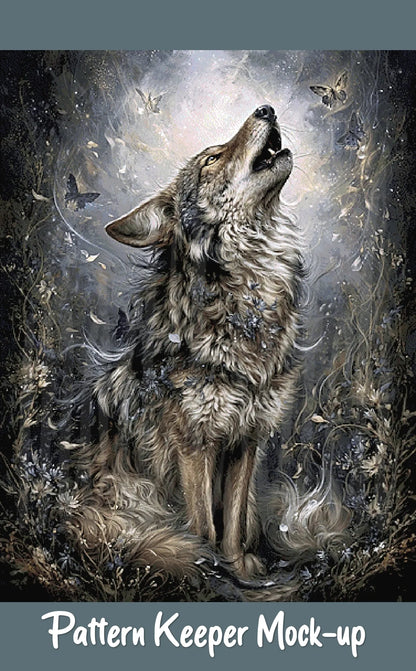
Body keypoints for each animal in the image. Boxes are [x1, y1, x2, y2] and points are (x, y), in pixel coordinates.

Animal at [66, 105, 305, 584]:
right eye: (212, 159)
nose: (266, 109)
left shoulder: (245, 440)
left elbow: (231, 520)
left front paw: (238, 567)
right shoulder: (194, 445)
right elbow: (202, 523)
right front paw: (208, 569)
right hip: (130, 493)